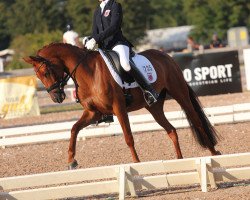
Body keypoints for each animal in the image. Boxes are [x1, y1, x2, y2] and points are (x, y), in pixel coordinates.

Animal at [24, 43, 221, 170]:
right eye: (38, 75)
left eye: (46, 72)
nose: (57, 97)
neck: (88, 73)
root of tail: (167, 57)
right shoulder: (93, 113)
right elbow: (73, 129)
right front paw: (71, 160)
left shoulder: (119, 108)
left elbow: (128, 137)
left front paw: (136, 164)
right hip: (154, 108)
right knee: (171, 130)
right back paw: (179, 161)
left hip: (180, 95)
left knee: (197, 121)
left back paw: (213, 152)